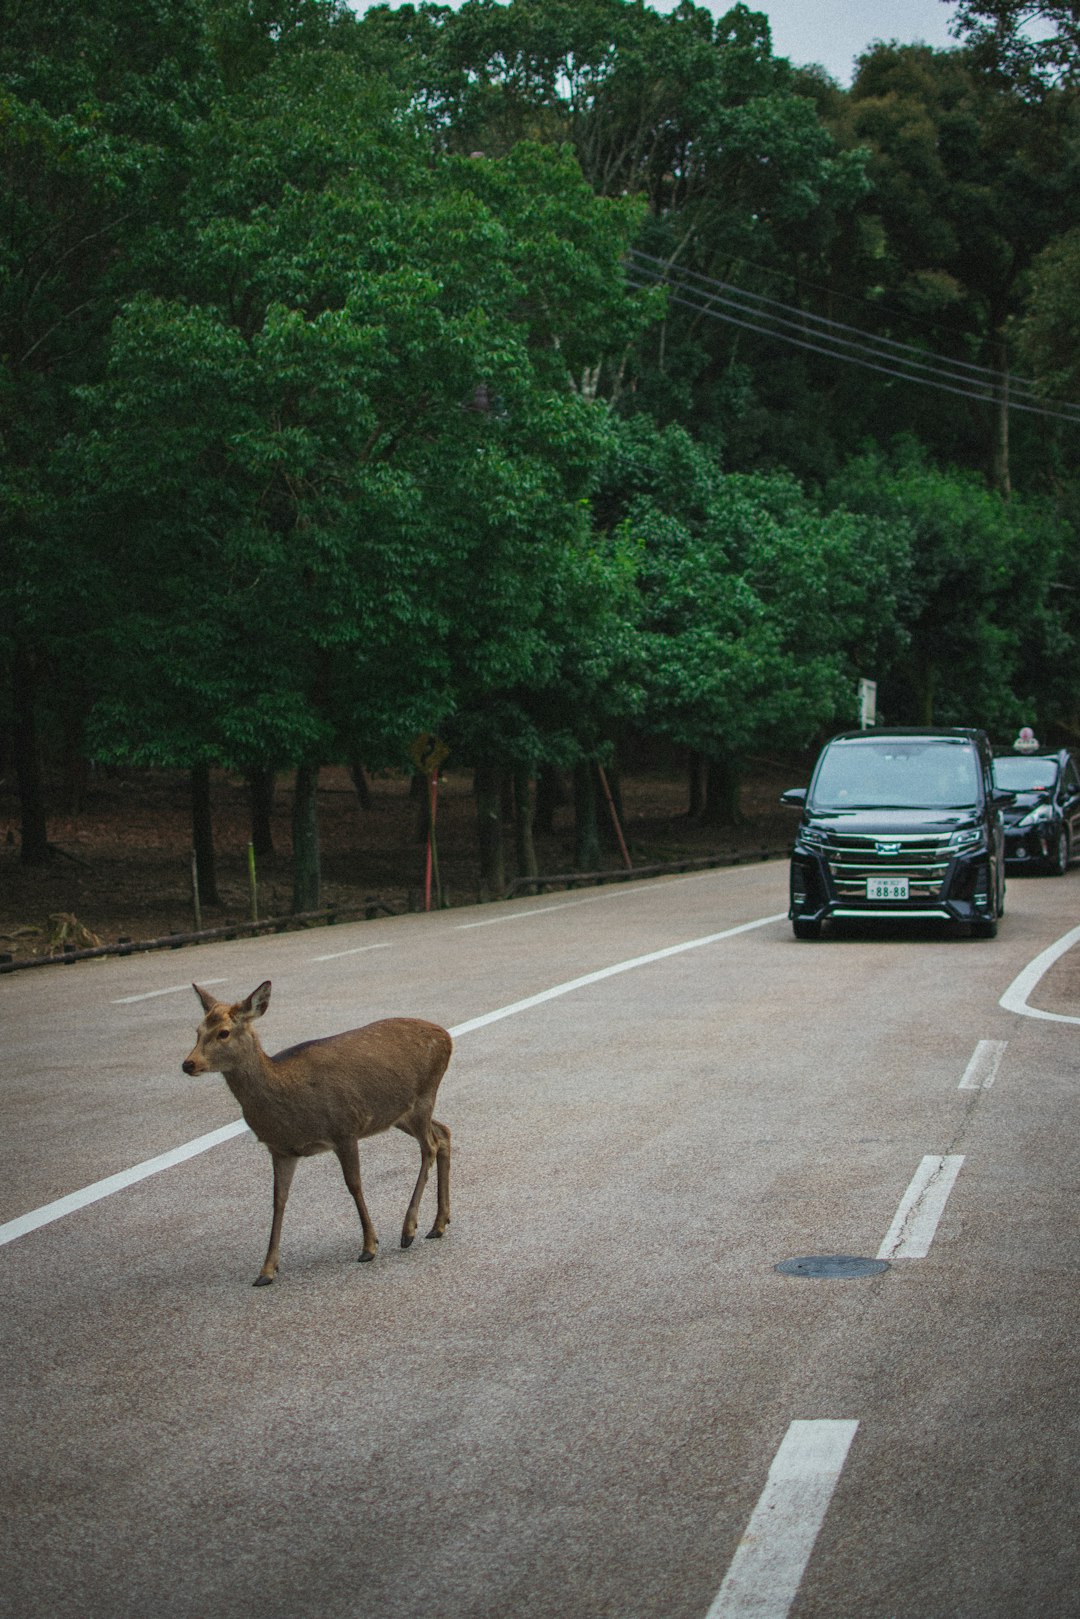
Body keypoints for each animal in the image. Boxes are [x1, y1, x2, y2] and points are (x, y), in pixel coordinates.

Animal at [183, 977, 453, 1282]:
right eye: (197, 1031)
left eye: (224, 1033)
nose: (188, 1063)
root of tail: (447, 1037)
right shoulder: (280, 1149)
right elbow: (278, 1200)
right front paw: (267, 1270)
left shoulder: (343, 1127)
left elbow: (354, 1184)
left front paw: (369, 1246)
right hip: (400, 1113)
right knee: (443, 1133)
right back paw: (438, 1224)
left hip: (424, 1096)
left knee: (429, 1146)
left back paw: (409, 1229)